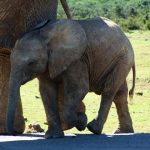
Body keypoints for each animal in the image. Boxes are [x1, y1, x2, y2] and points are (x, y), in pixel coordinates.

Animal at [6, 17, 135, 138]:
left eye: (31, 63)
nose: (15, 132)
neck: (44, 35)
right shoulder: (49, 63)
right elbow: (46, 91)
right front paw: (53, 136)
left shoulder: (77, 60)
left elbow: (79, 88)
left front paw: (82, 120)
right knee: (119, 95)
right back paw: (122, 131)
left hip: (123, 59)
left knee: (108, 91)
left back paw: (93, 128)